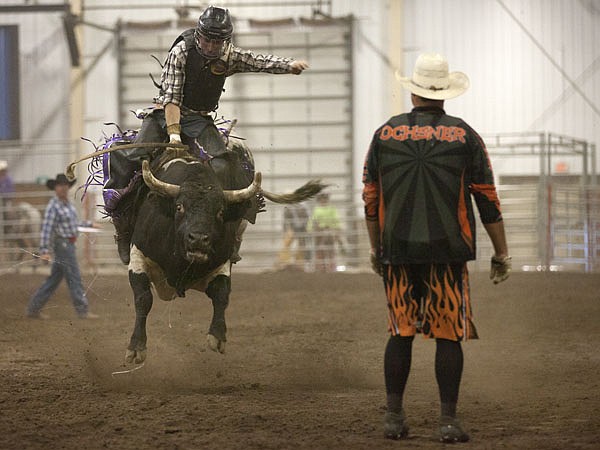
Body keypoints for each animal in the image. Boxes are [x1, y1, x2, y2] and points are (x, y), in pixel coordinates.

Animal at [68, 139, 326, 364]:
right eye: (179, 206)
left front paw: (218, 337)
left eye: (220, 212)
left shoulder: (220, 264)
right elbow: (143, 299)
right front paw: (136, 348)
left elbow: (222, 295)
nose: (199, 239)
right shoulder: (139, 256)